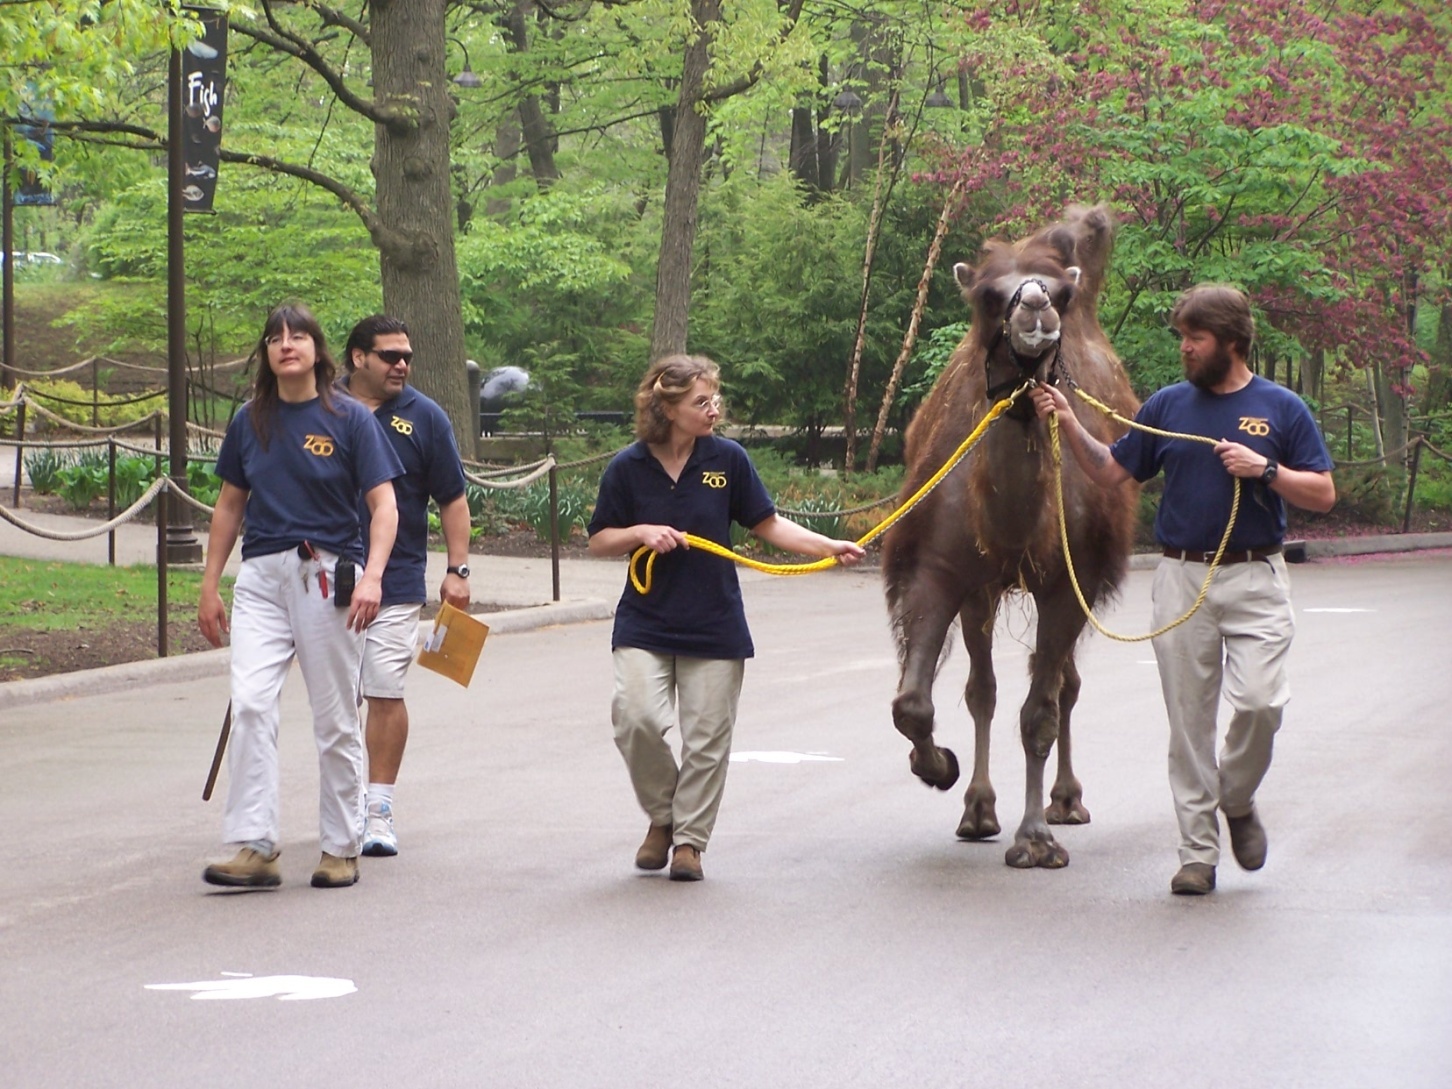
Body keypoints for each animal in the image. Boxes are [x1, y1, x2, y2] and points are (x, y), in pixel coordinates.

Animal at [877, 204, 1138, 871]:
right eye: (987, 296)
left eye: (1063, 294)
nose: (1037, 308)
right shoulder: (940, 570)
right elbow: (914, 703)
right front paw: (939, 768)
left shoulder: (1068, 583)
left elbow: (1040, 713)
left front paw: (1036, 839)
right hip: (984, 591)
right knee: (983, 690)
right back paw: (977, 810)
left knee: (1063, 686)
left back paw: (1065, 802)